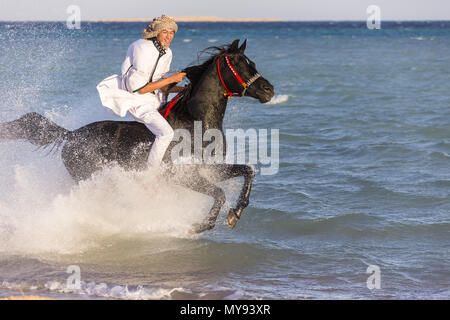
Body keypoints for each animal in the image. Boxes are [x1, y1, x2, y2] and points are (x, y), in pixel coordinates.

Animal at [0, 40, 274, 232]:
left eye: (251, 62)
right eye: (238, 63)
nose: (268, 90)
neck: (196, 124)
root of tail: (70, 135)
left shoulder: (211, 169)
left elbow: (248, 171)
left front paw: (235, 213)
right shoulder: (182, 175)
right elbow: (218, 193)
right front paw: (202, 225)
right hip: (88, 177)